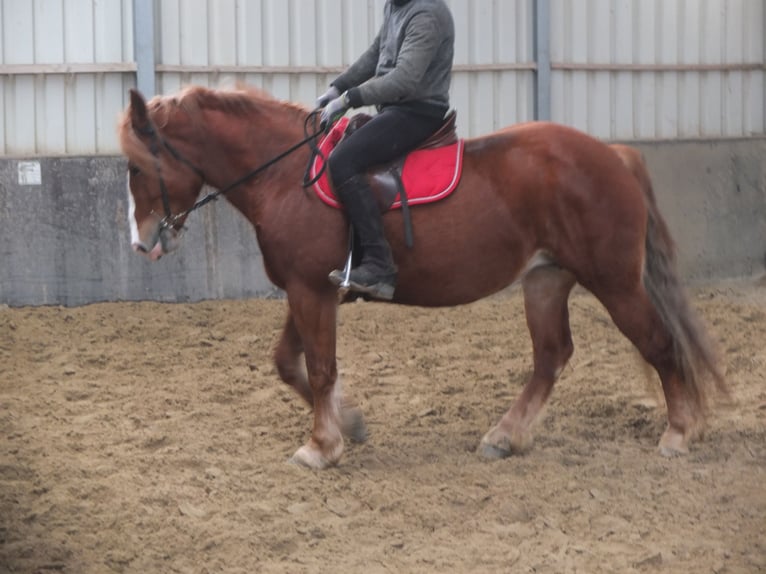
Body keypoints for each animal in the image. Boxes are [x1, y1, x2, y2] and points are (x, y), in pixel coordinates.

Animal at [118, 86, 728, 472]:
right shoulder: (308, 289)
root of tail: (614, 154)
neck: (286, 175)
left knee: (658, 344)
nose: (143, 243)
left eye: (136, 166)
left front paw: (321, 446)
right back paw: (505, 436)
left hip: (615, 283)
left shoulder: (312, 290)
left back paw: (679, 432)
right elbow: (288, 363)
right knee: (552, 356)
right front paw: (350, 423)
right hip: (546, 280)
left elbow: (319, 367)